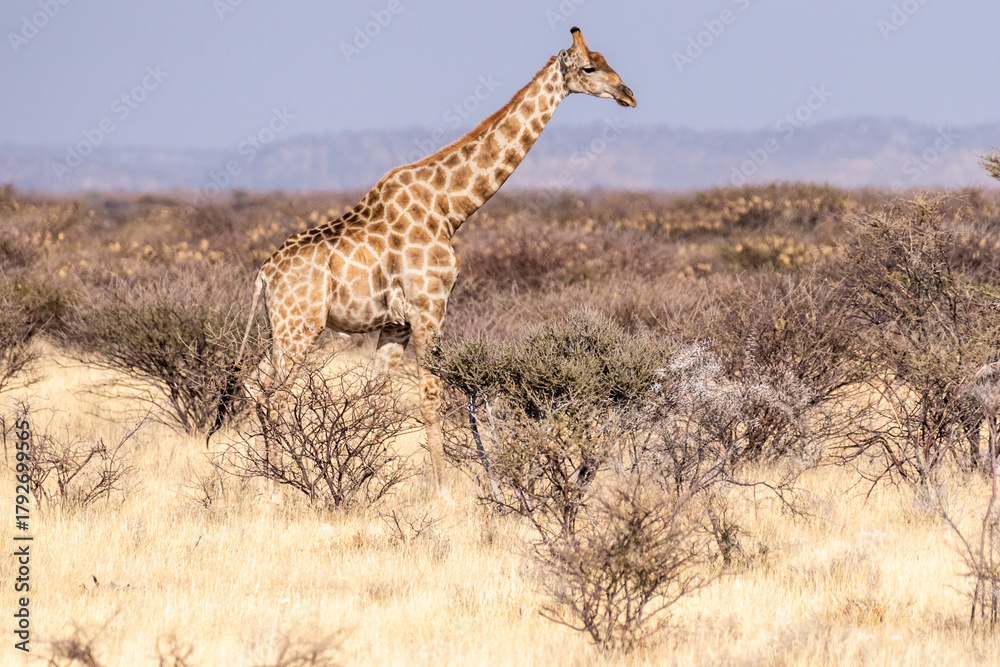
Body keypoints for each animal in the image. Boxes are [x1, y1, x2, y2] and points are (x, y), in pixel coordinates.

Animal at [235, 27, 635, 485]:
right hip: (299, 325)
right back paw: (279, 480)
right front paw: (441, 488)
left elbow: (373, 397)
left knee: (255, 385)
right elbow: (430, 396)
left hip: (280, 327)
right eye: (589, 68)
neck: (450, 207)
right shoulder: (431, 307)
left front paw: (368, 477)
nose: (628, 94)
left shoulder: (395, 324)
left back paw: (264, 477)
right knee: (276, 393)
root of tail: (264, 273)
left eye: (606, 61)